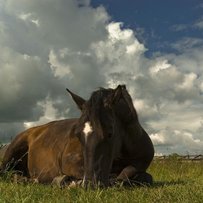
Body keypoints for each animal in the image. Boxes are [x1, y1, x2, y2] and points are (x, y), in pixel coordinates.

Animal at [0, 85, 154, 187]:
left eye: (110, 133)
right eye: (78, 135)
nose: (91, 184)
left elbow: (136, 174)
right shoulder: (70, 161)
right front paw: (66, 181)